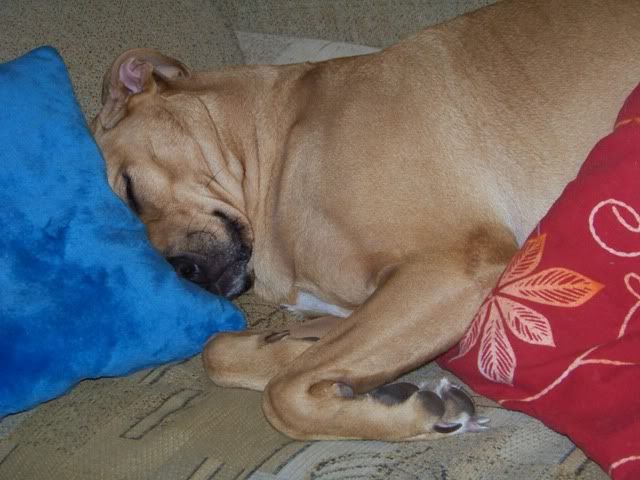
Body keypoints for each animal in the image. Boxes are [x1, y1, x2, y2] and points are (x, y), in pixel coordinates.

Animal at [91, 0, 640, 441]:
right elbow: (222, 351)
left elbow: (282, 393)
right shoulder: (363, 303)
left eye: (130, 191)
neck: (278, 144)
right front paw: (285, 348)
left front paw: (417, 412)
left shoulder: (448, 266)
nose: (182, 271)